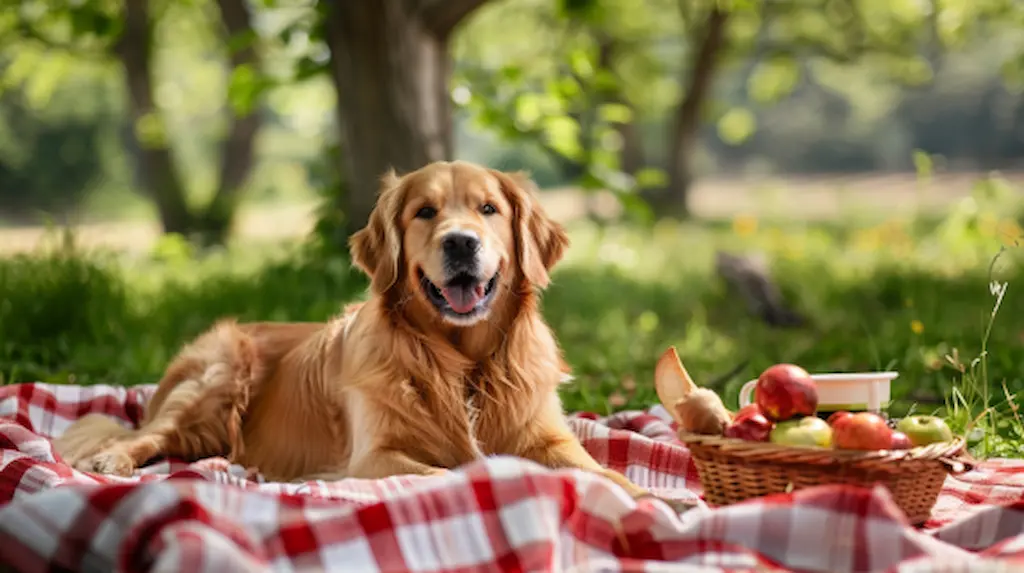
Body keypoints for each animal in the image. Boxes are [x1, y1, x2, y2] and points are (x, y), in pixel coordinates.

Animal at [51, 159, 643, 497]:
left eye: (489, 208)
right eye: (425, 212)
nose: (461, 242)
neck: (463, 363)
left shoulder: (547, 436)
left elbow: (606, 473)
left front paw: (654, 500)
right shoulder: (374, 457)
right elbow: (454, 472)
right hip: (215, 374)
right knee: (143, 434)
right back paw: (113, 457)